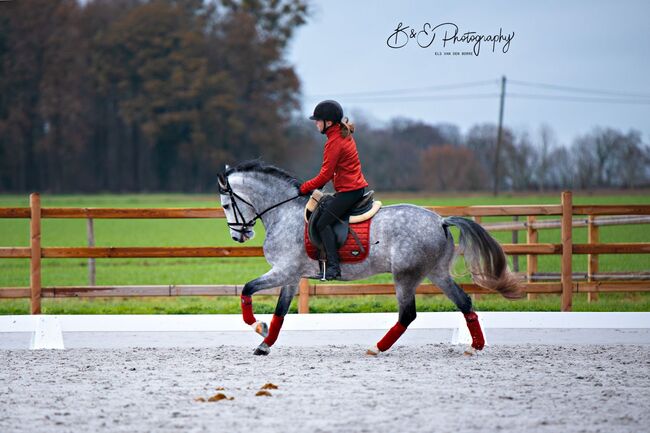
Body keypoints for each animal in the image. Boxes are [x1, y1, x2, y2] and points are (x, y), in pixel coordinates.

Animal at [218, 160, 520, 356]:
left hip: (405, 275)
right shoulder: (290, 276)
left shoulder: (283, 271)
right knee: (464, 302)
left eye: (226, 204)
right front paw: (264, 343)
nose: (238, 236)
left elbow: (247, 290)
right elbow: (280, 313)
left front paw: (257, 325)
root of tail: (440, 221)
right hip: (436, 273)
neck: (284, 212)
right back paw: (476, 346)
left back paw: (377, 348)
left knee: (407, 314)